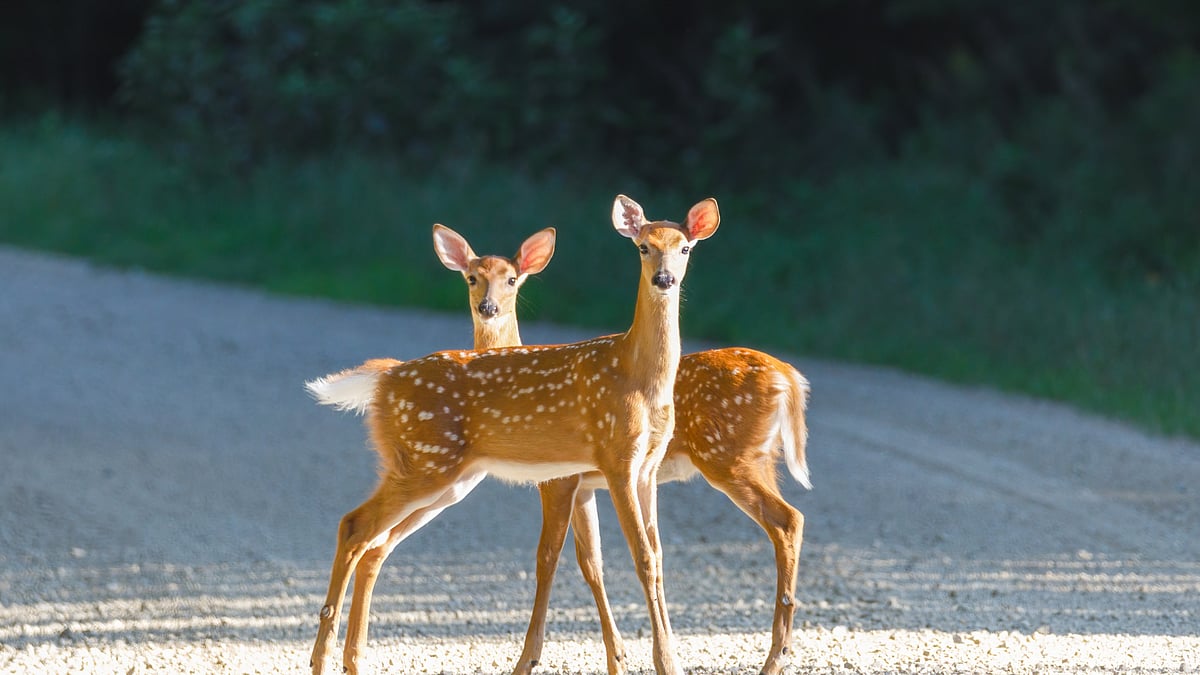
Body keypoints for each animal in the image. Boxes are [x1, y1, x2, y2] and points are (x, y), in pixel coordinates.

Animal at [305, 195, 719, 675]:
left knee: (374, 543)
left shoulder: (645, 468)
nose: (664, 278)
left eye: (685, 247)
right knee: (354, 526)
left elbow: (652, 556)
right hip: (426, 460)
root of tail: (385, 379)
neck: (638, 376)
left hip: (448, 478)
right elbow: (636, 558)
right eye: (643, 247)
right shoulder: (614, 459)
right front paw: (663, 661)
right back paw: (321, 658)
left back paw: (350, 658)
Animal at [428, 223, 812, 675]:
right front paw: (618, 656)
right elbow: (592, 563)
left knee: (787, 520)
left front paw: (529, 659)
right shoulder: (586, 485)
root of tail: (789, 376)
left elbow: (547, 558)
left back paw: (776, 655)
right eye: (472, 277)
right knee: (788, 519)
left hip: (730, 456)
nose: (487, 307)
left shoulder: (559, 480)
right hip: (760, 459)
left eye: (511, 279)